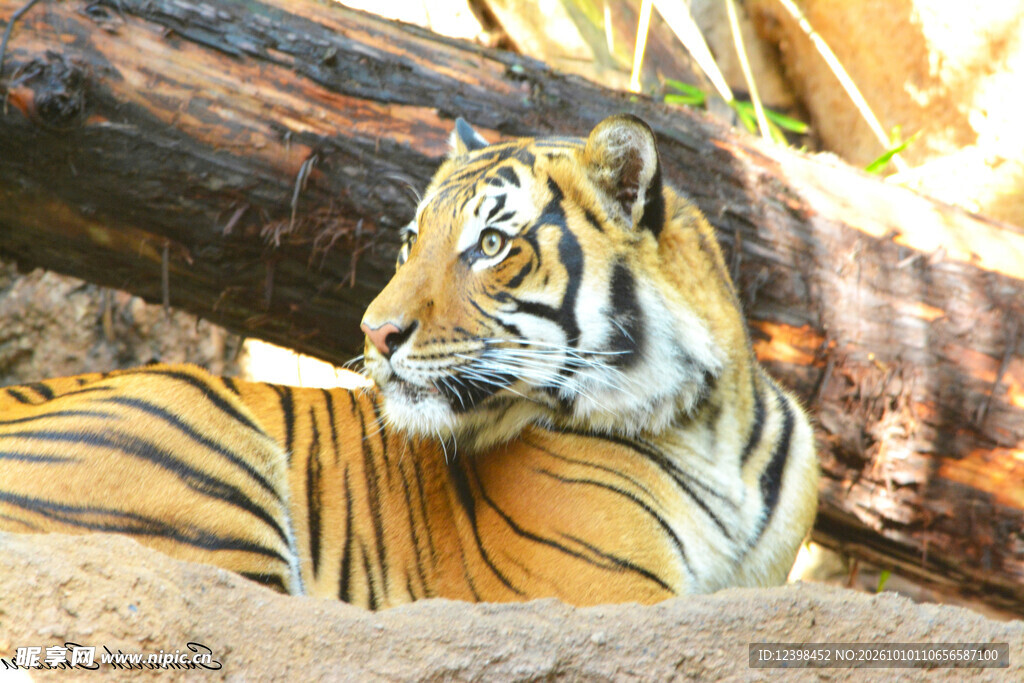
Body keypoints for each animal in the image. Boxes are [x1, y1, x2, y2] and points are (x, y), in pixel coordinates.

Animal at [0, 115, 818, 608]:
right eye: (411, 240)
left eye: (492, 244)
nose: (375, 330)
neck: (708, 423)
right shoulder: (609, 594)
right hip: (188, 439)